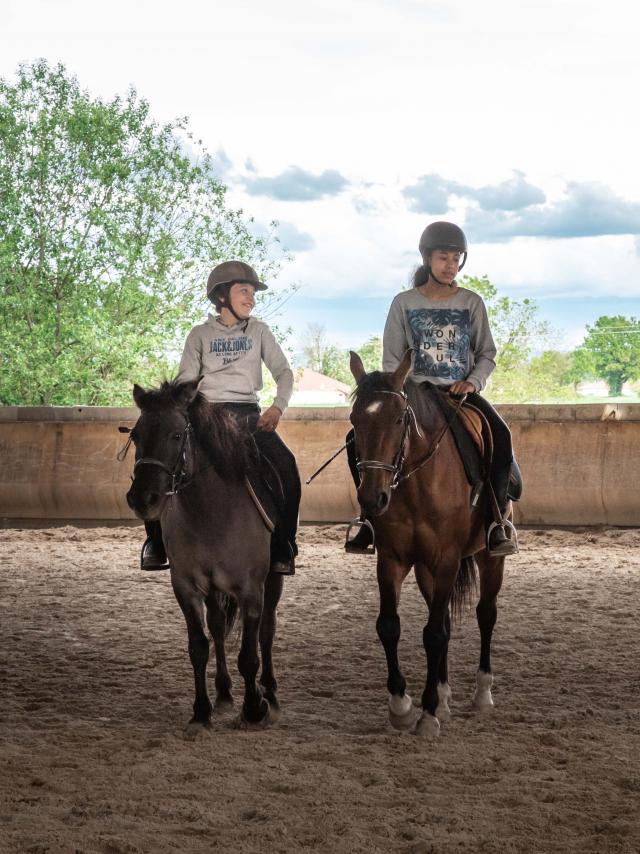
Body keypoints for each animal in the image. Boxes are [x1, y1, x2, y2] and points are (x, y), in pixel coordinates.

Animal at [125, 382, 282, 736]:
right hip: (213, 589)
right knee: (219, 627)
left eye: (175, 435)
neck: (210, 511)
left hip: (274, 578)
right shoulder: (186, 586)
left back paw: (270, 691)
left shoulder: (251, 588)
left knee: (267, 630)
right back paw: (223, 693)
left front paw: (254, 709)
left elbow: (249, 654)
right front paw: (201, 711)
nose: (142, 499)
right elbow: (199, 646)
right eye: (137, 435)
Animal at [348, 352, 508, 740]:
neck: (417, 483)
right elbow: (389, 626)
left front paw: (428, 714)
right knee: (447, 618)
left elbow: (434, 633)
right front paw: (403, 706)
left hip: (488, 558)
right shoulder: (392, 560)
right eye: (354, 420)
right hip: (424, 570)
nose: (372, 498)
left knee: (485, 614)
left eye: (399, 418)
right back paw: (445, 696)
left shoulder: (446, 560)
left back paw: (482, 694)